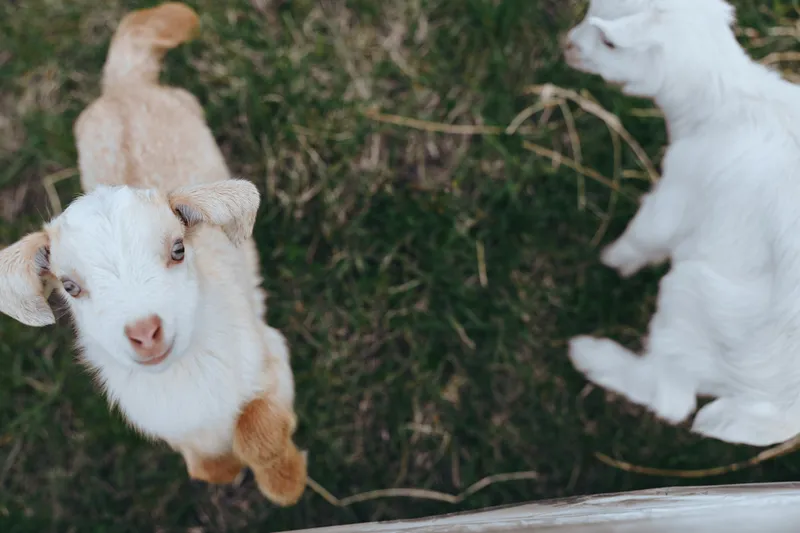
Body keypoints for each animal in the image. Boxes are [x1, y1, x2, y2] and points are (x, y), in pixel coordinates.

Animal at [0, 2, 306, 505]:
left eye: (178, 249)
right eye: (69, 286)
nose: (145, 332)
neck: (184, 375)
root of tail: (123, 86)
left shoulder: (270, 358)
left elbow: (257, 427)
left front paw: (285, 483)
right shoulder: (168, 422)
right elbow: (204, 463)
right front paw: (225, 470)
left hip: (183, 101)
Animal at [563, 0, 800, 446]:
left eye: (609, 42)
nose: (566, 46)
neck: (726, 102)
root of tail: (779, 412)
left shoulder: (679, 190)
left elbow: (645, 236)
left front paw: (611, 260)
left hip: (693, 304)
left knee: (670, 398)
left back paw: (591, 355)